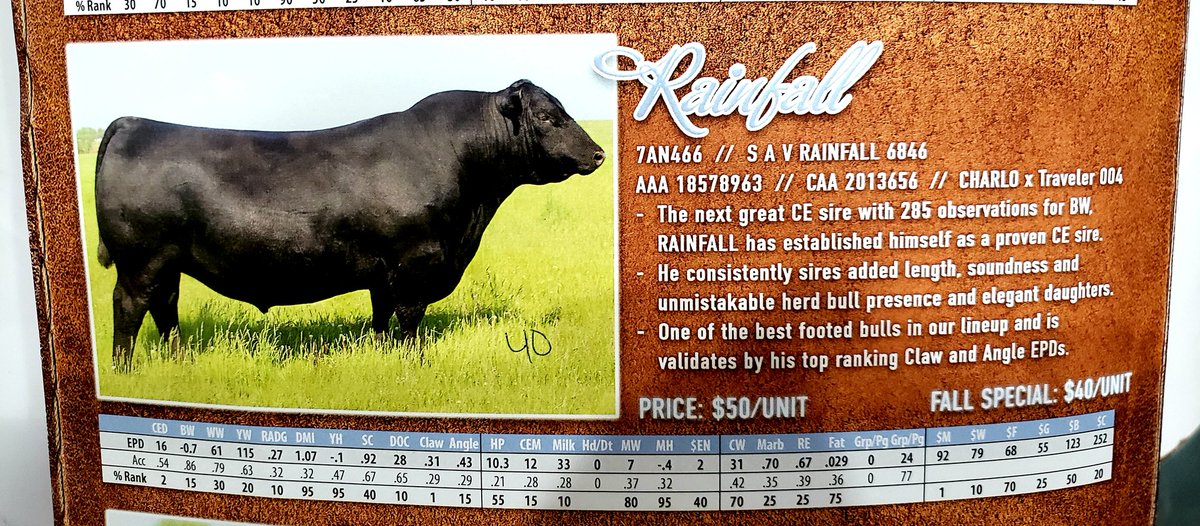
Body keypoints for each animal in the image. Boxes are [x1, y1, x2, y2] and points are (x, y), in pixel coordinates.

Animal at [94, 79, 606, 371]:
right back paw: (123, 371)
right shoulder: (416, 261)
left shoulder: (384, 270)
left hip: (167, 262)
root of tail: (135, 123)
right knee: (130, 309)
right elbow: (410, 318)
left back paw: (178, 361)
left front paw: (381, 355)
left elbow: (381, 316)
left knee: (166, 309)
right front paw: (415, 363)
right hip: (140, 261)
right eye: (547, 116)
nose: (599, 153)